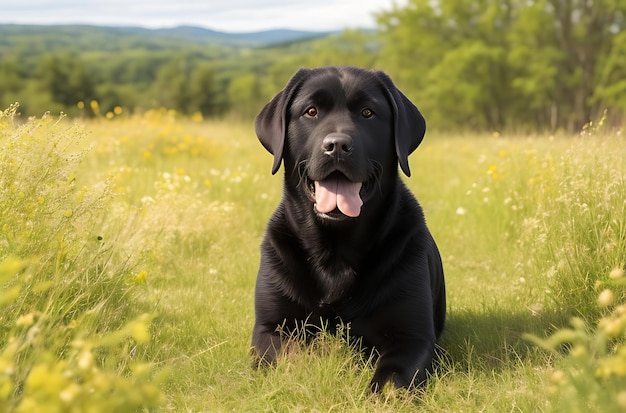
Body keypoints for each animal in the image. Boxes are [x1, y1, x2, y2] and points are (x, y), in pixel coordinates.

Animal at [249, 66, 444, 392]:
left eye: (368, 113)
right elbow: (290, 358)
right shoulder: (272, 328)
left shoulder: (412, 337)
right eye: (311, 111)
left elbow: (390, 381)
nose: (337, 146)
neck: (335, 254)